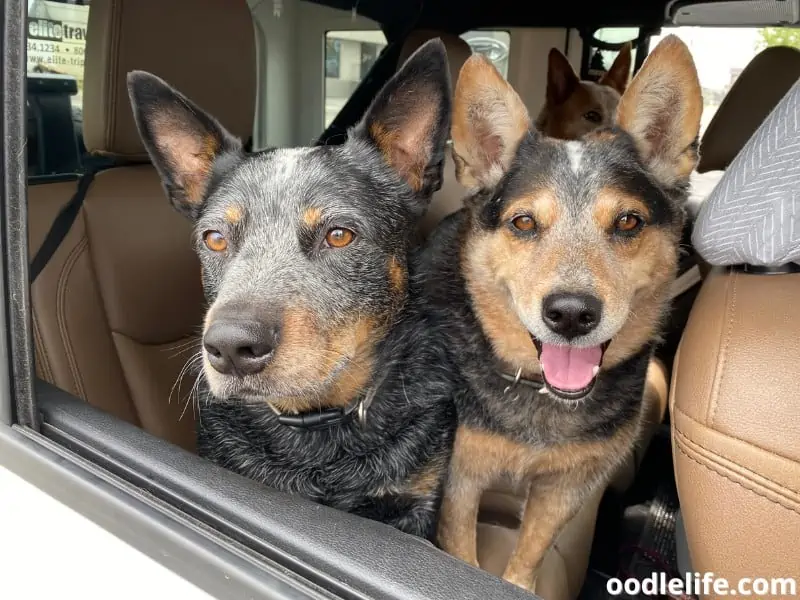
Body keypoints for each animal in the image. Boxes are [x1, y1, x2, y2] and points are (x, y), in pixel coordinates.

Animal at [422, 35, 704, 588]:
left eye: (628, 222)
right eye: (524, 222)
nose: (571, 314)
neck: (536, 390)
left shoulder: (567, 487)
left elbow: (530, 552)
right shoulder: (460, 479)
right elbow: (462, 555)